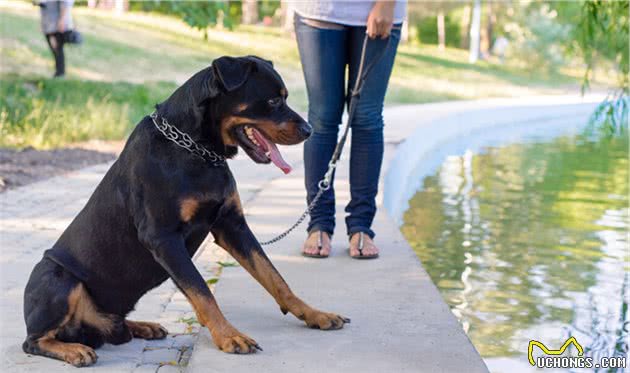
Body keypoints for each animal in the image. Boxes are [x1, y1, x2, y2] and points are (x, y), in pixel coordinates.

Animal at [22, 56, 350, 366]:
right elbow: (202, 292)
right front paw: (229, 336)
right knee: (34, 341)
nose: (309, 130)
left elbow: (275, 277)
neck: (197, 150)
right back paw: (74, 350)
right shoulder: (163, 238)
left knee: (114, 326)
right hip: (58, 277)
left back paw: (142, 326)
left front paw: (315, 314)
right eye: (273, 101)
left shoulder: (232, 225)